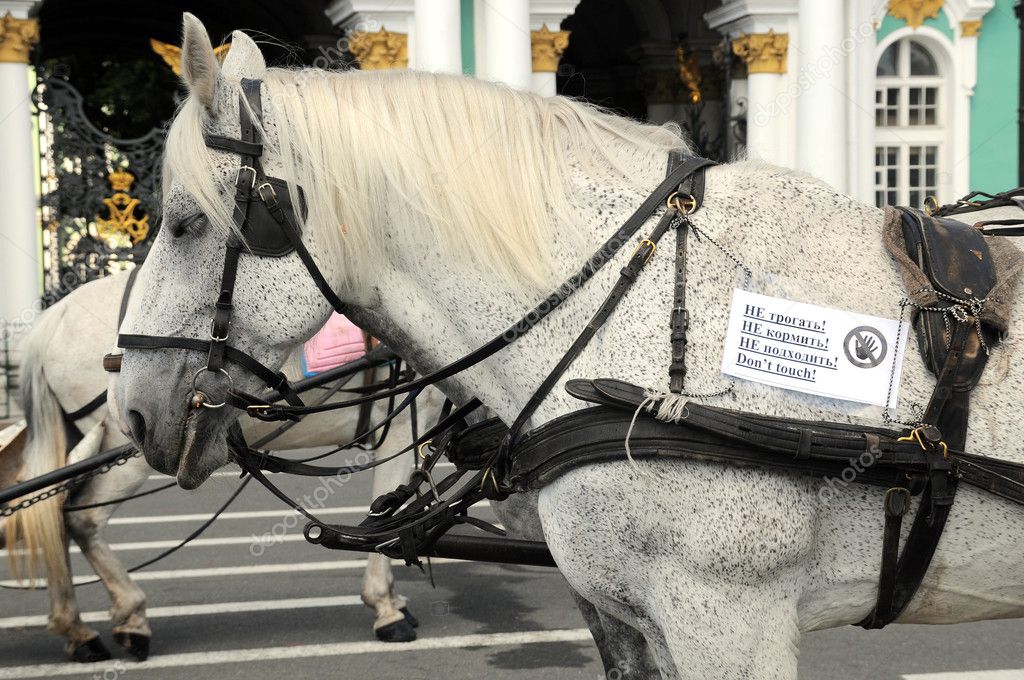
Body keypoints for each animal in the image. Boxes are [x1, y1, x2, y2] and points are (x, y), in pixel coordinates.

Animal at [2, 270, 432, 662]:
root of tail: (56, 315)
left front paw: (393, 600)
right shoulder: (401, 429)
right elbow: (385, 517)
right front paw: (386, 608)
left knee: (52, 515)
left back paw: (75, 629)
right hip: (127, 447)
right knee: (81, 519)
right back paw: (129, 616)